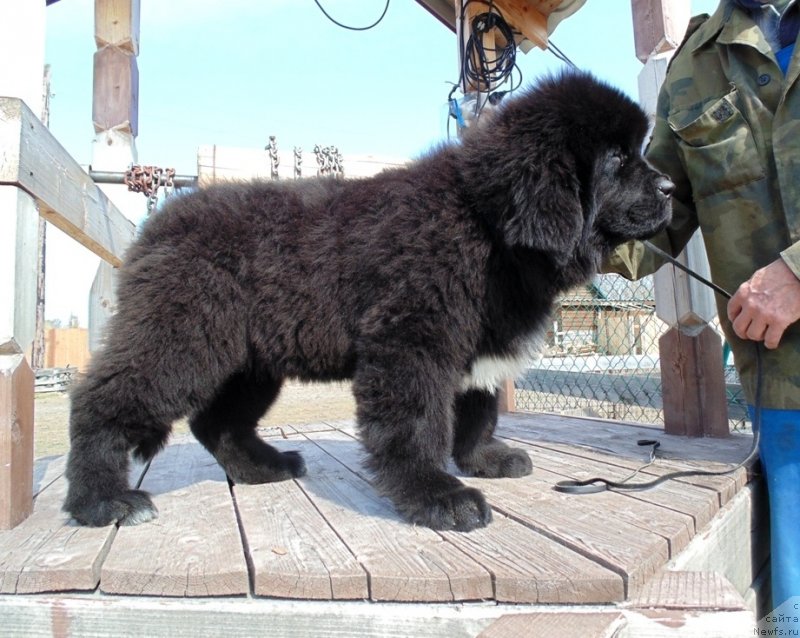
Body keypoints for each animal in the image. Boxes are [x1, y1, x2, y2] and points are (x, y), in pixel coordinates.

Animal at [65, 72, 672, 536]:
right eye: (617, 157)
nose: (670, 188)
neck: (487, 223)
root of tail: (157, 224)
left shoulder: (476, 344)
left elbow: (477, 410)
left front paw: (483, 460)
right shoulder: (410, 339)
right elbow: (418, 423)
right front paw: (437, 495)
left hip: (249, 362)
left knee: (218, 422)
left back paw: (263, 467)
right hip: (180, 334)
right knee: (103, 400)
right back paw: (102, 500)